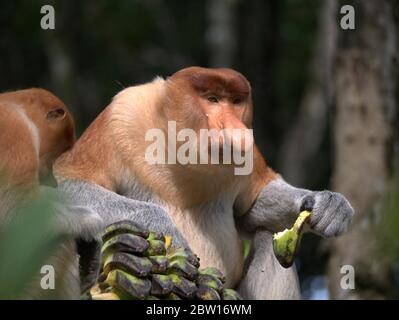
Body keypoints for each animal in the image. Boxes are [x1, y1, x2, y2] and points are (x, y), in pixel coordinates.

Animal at [0, 89, 102, 298]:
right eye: (58, 154)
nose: (53, 182)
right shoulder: (16, 133)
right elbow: (14, 209)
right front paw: (91, 223)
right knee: (60, 242)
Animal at [54, 66, 354, 298]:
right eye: (212, 99)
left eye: (236, 101)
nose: (235, 127)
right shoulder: (121, 115)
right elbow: (64, 185)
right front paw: (165, 227)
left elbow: (251, 209)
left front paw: (328, 205)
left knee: (268, 236)